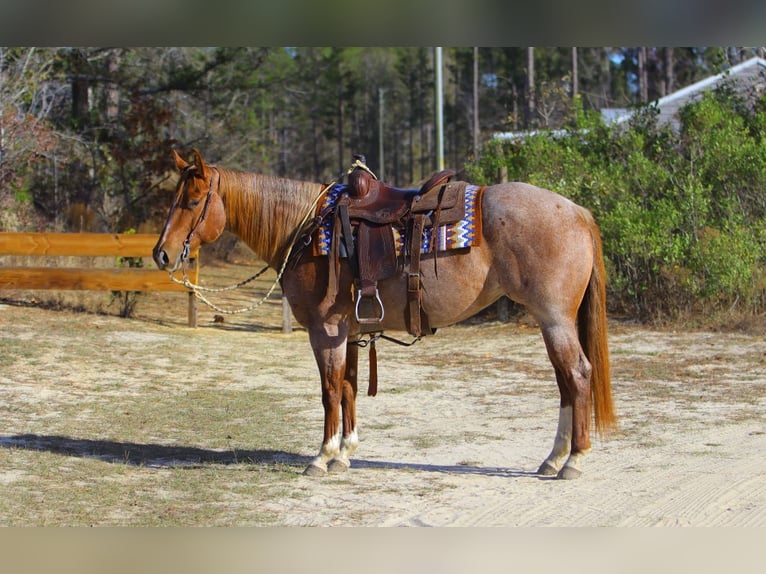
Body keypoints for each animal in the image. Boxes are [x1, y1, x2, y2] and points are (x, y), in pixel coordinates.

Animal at [153, 148, 616, 480]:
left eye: (192, 200)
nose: (161, 254)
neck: (306, 228)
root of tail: (577, 211)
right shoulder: (349, 330)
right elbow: (350, 387)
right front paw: (346, 452)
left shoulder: (324, 330)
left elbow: (329, 391)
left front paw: (322, 457)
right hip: (551, 321)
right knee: (564, 382)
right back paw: (553, 458)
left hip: (554, 318)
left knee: (577, 376)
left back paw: (573, 461)